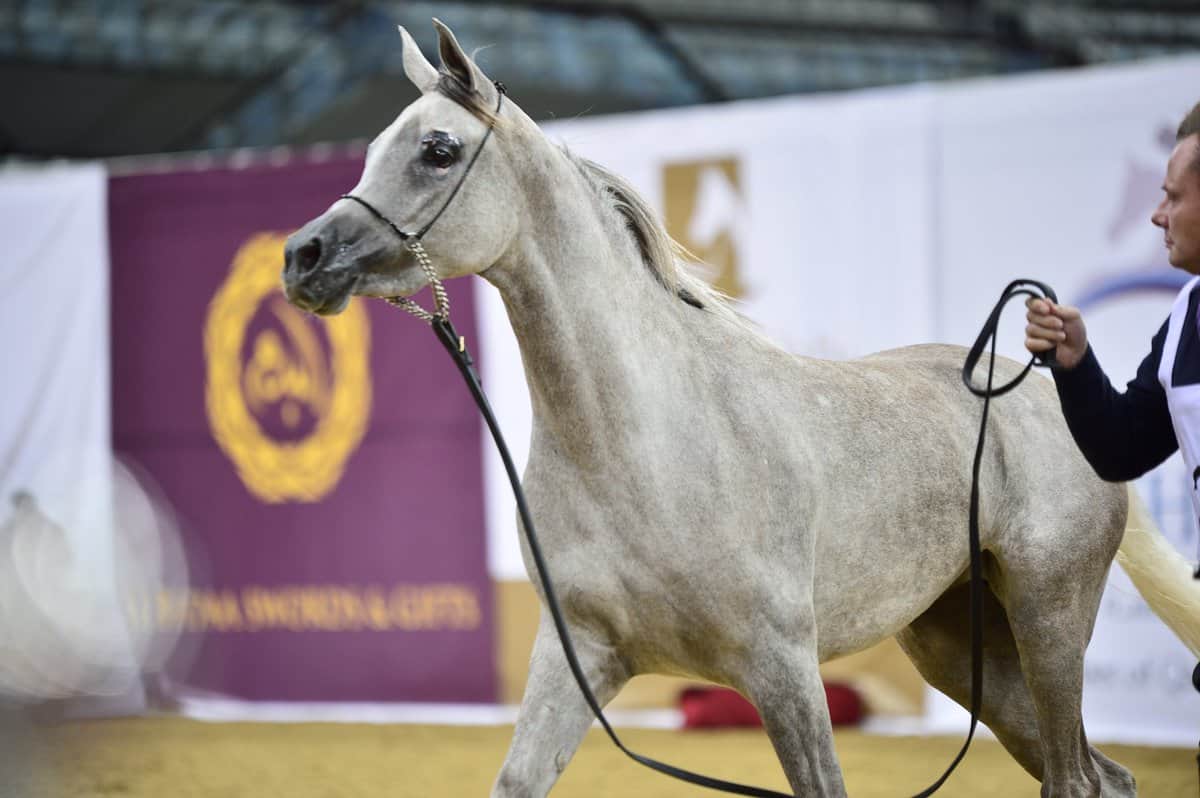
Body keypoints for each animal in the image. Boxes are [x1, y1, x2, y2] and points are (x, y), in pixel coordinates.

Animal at [283, 21, 1200, 792]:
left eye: (438, 149)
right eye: (374, 148)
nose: (303, 257)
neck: (651, 445)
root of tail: (1044, 393)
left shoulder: (785, 671)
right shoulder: (578, 657)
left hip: (1049, 620)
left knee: (1076, 777)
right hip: (960, 645)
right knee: (1102, 776)